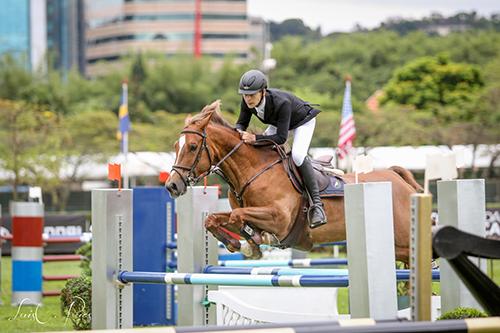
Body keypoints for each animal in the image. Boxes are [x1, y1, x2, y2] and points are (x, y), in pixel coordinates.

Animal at [165, 100, 422, 264]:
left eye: (192, 147)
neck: (251, 171)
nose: (172, 186)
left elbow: (239, 217)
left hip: (404, 240)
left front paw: (255, 241)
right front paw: (241, 245)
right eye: (176, 146)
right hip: (397, 248)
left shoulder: (279, 218)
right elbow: (212, 219)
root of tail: (396, 177)